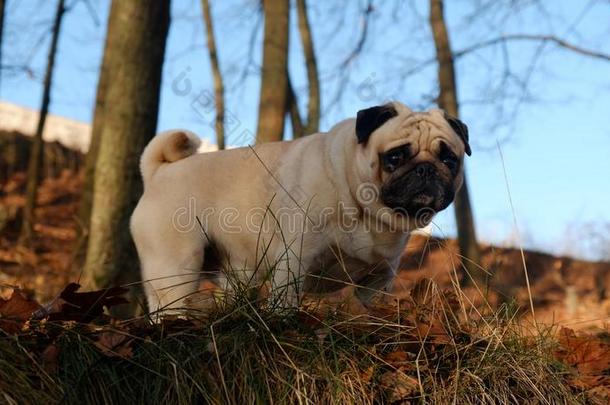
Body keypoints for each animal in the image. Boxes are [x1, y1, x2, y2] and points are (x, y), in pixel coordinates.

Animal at [129, 101, 470, 312]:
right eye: (395, 157)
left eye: (449, 159)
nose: (425, 169)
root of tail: (158, 172)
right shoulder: (295, 259)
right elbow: (285, 301)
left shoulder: (378, 278)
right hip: (175, 265)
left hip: (234, 272)